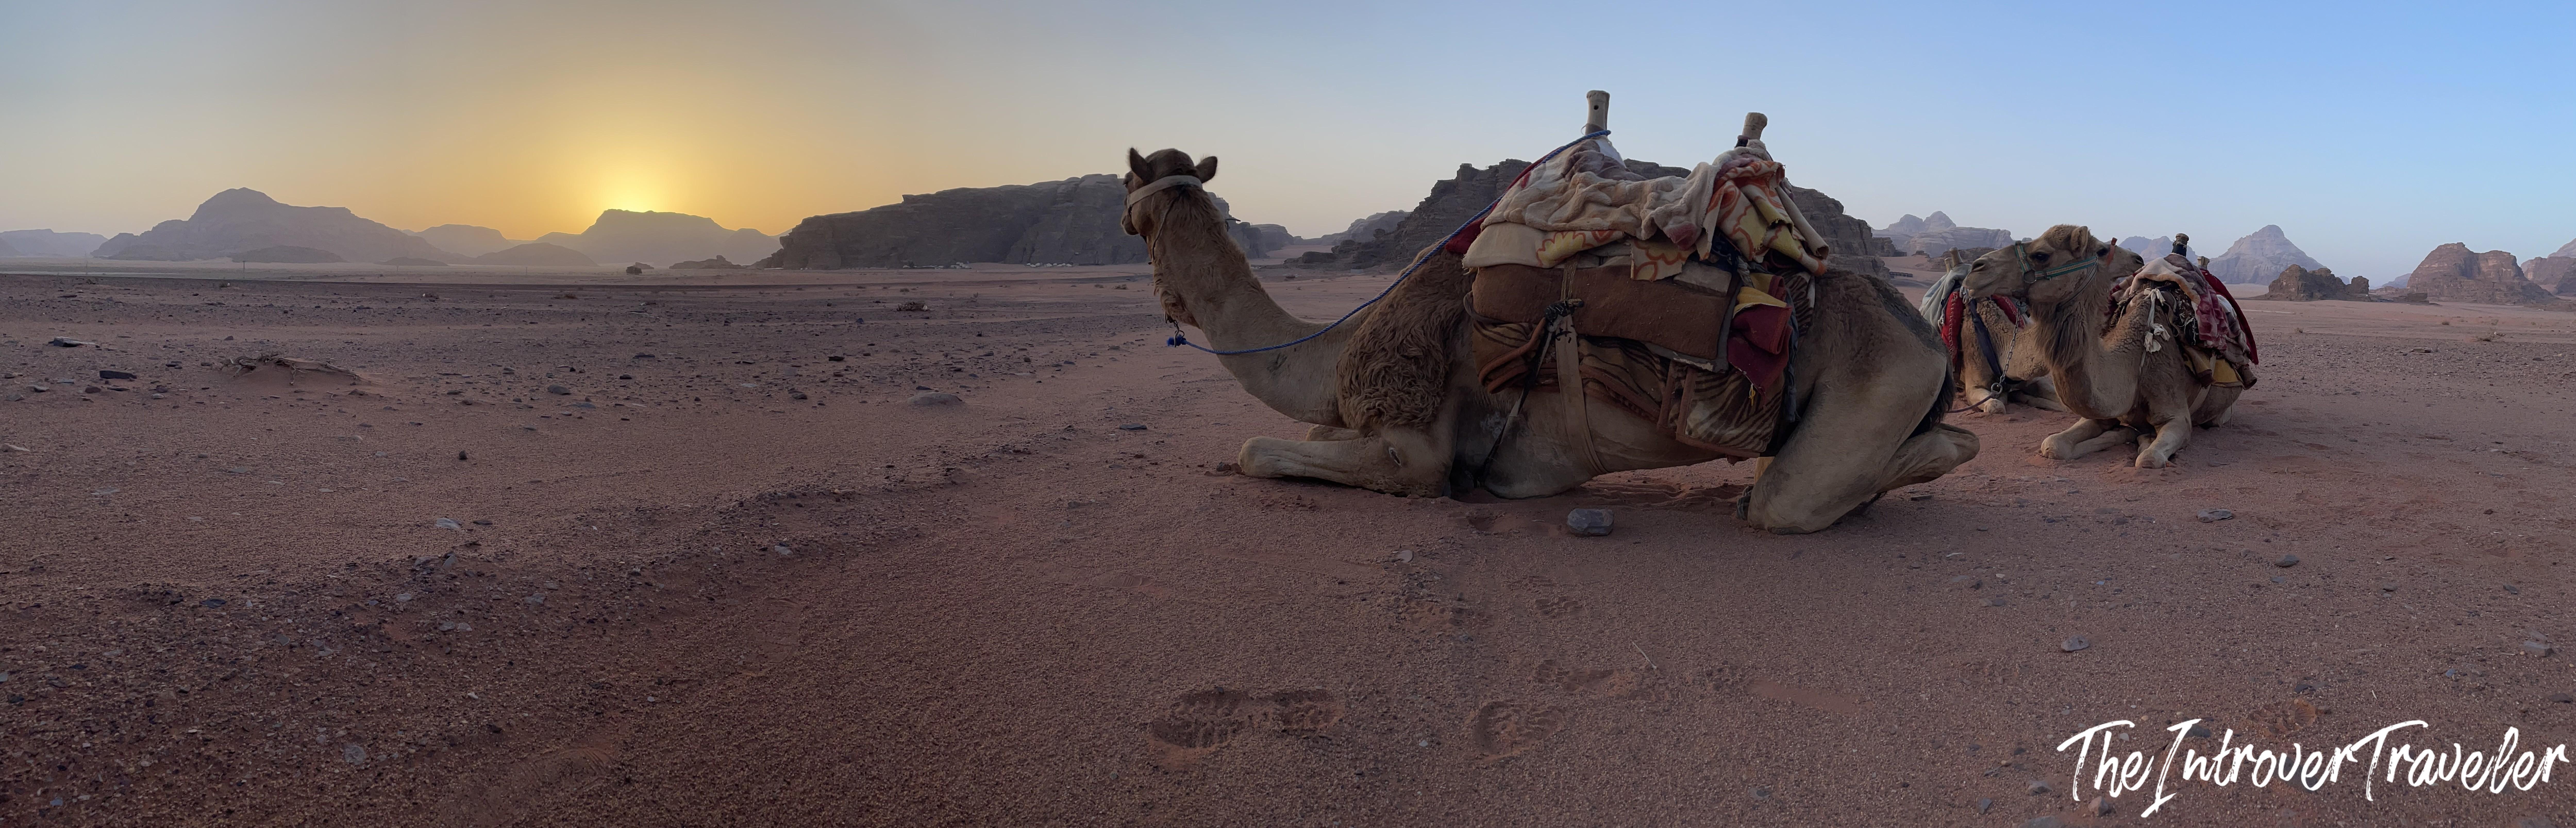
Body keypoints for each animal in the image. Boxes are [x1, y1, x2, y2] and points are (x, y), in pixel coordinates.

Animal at [1122, 147, 1979, 533]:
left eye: (1133, 191)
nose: (1125, 216)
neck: (1331, 350)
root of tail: (1923, 338)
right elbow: (1293, 439)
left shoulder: (1415, 445)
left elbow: (1256, 450)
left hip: (1879, 381)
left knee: (1795, 496)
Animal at [1957, 225, 2243, 469]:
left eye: (2041, 255)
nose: (1977, 268)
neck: (2135, 362)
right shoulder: (2100, 412)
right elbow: (2053, 444)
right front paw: (2124, 433)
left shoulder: (2177, 415)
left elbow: (2148, 459)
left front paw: (2140, 440)